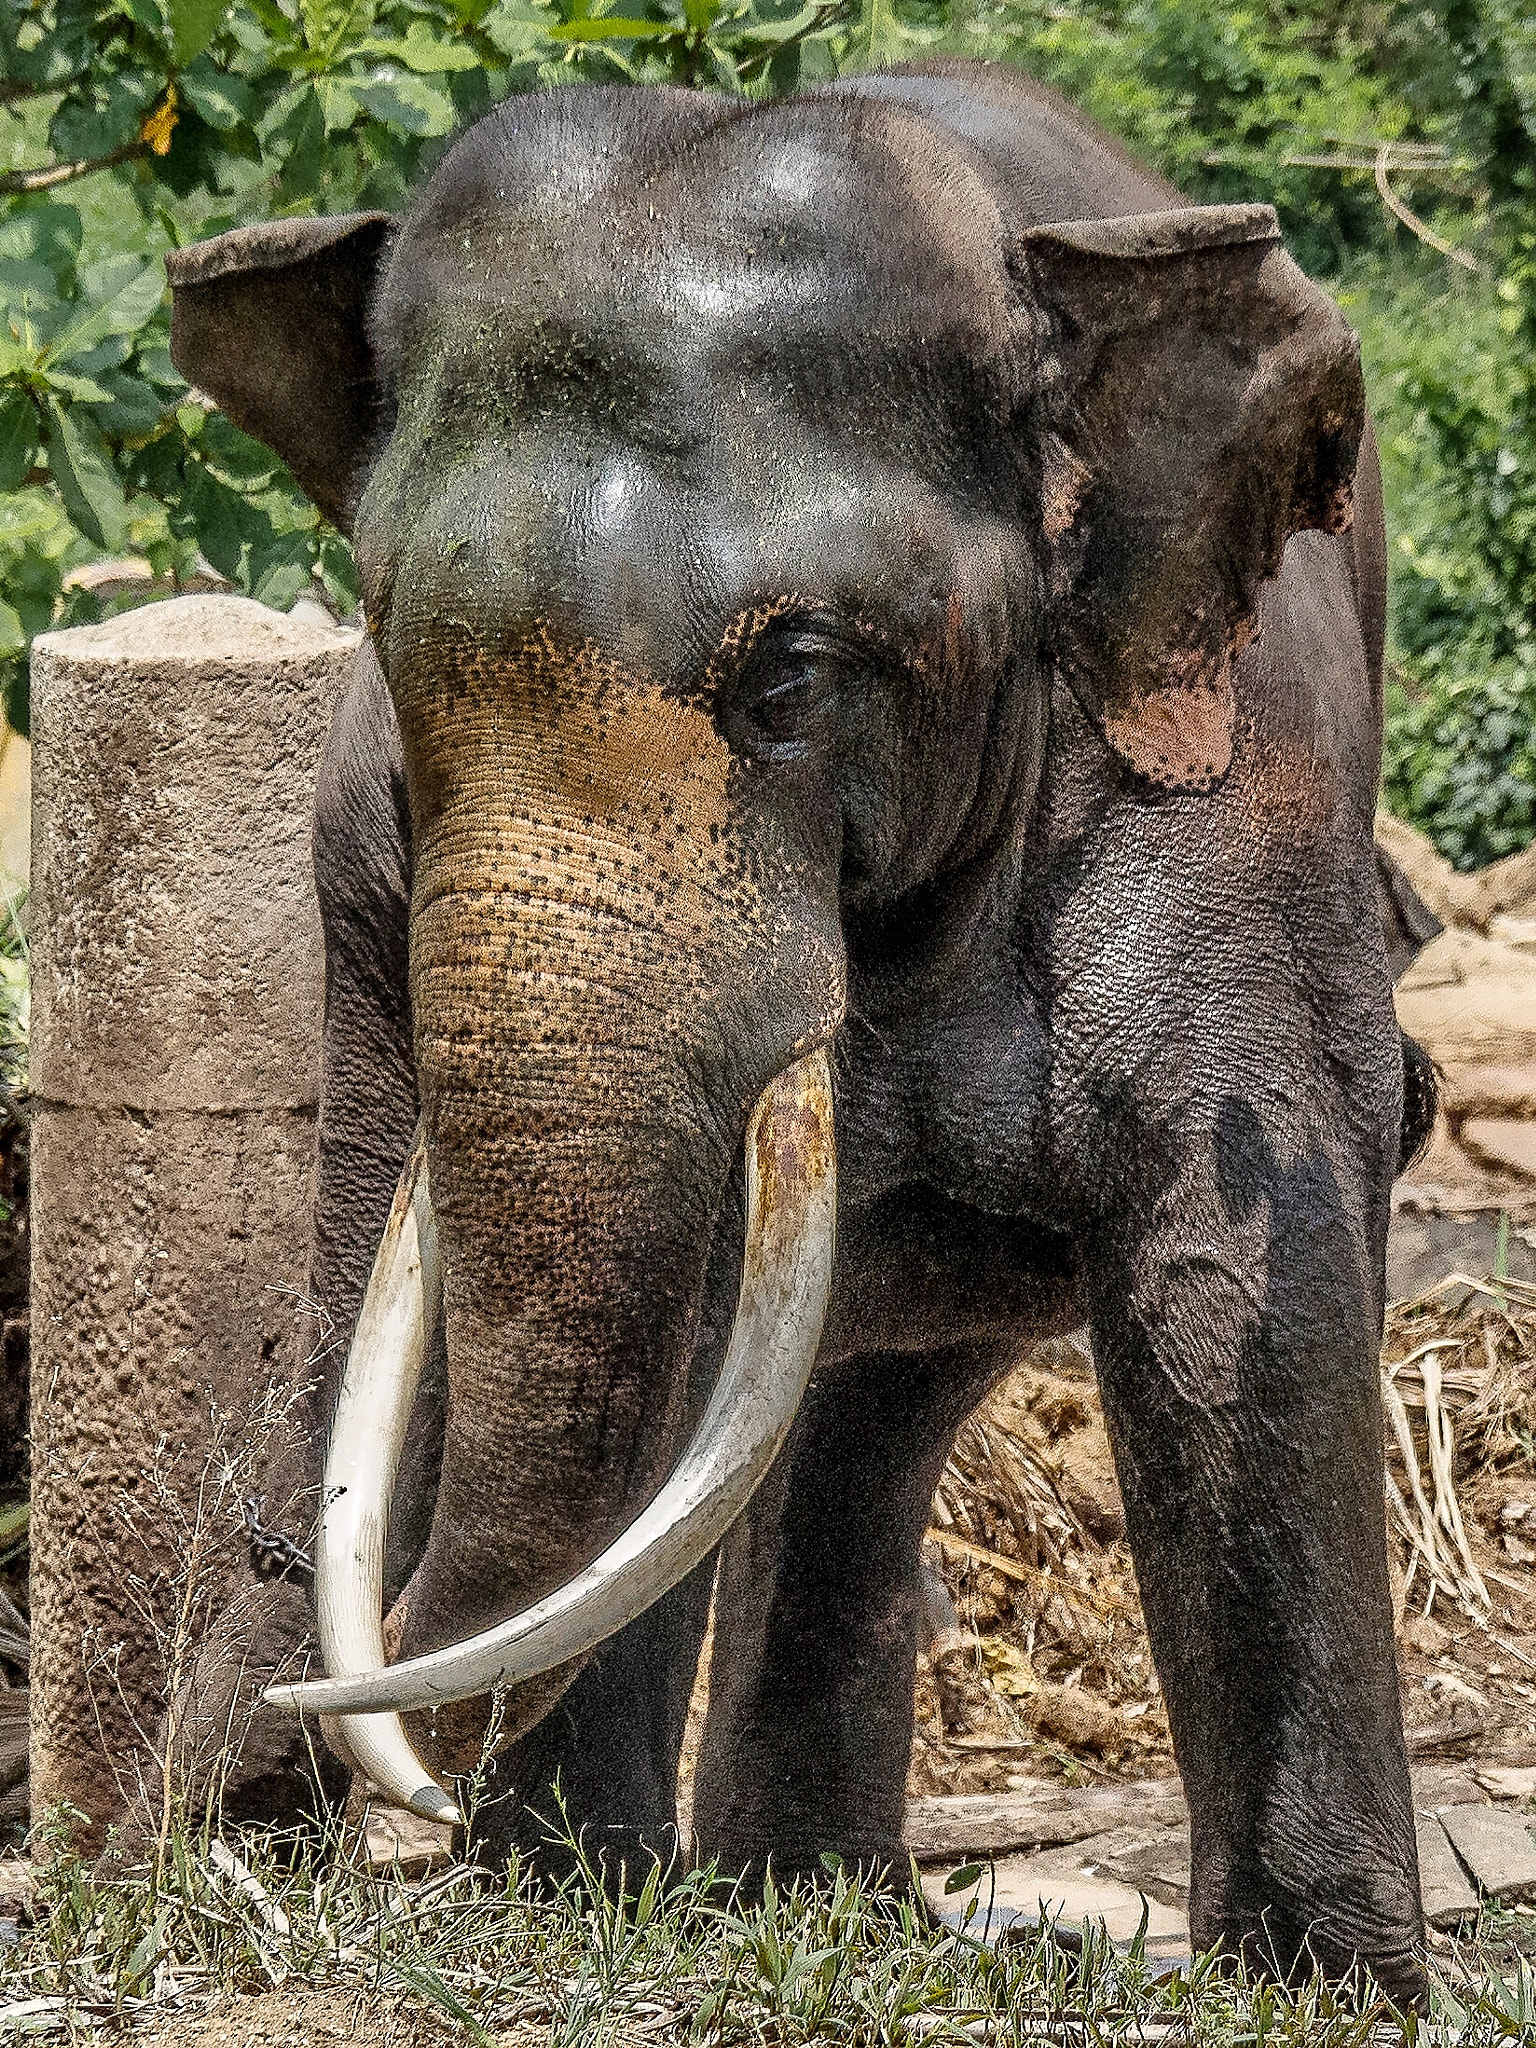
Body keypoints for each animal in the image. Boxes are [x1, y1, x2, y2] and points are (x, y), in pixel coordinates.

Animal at [165, 57, 1436, 2006]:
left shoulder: (1237, 784)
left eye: (796, 675)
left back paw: (807, 1902)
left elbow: (1235, 1267)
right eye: (386, 631)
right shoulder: (369, 863)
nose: (353, 1762)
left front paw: (1323, 1989)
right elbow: (674, 1325)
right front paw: (572, 1910)